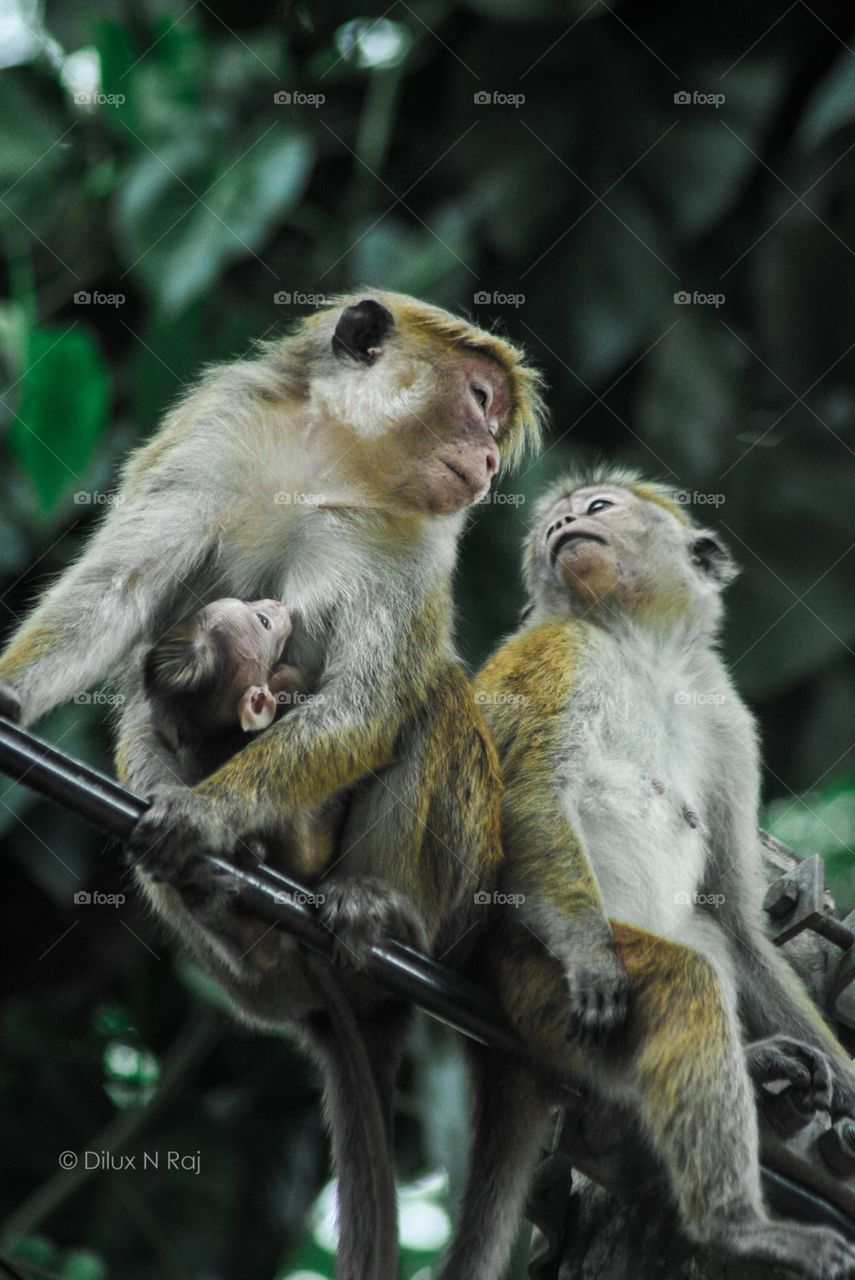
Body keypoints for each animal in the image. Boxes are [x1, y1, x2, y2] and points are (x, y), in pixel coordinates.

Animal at [0, 293, 545, 1280]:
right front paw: (10, 695)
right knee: (144, 718)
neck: (336, 456)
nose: (488, 459)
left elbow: (369, 700)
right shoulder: (218, 429)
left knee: (429, 696)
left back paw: (375, 909)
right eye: (478, 399)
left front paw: (209, 815)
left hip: (456, 896)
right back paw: (232, 916)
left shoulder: (416, 534)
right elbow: (119, 592)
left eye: (495, 418)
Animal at [437, 471, 855, 1280]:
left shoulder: (729, 722)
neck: (641, 650)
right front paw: (594, 959)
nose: (563, 523)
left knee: (705, 944)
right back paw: (734, 1225)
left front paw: (850, 1083)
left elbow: (734, 916)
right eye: (555, 525)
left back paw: (749, 1067)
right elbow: (531, 791)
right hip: (531, 978)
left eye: (598, 508)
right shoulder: (558, 650)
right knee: (681, 979)